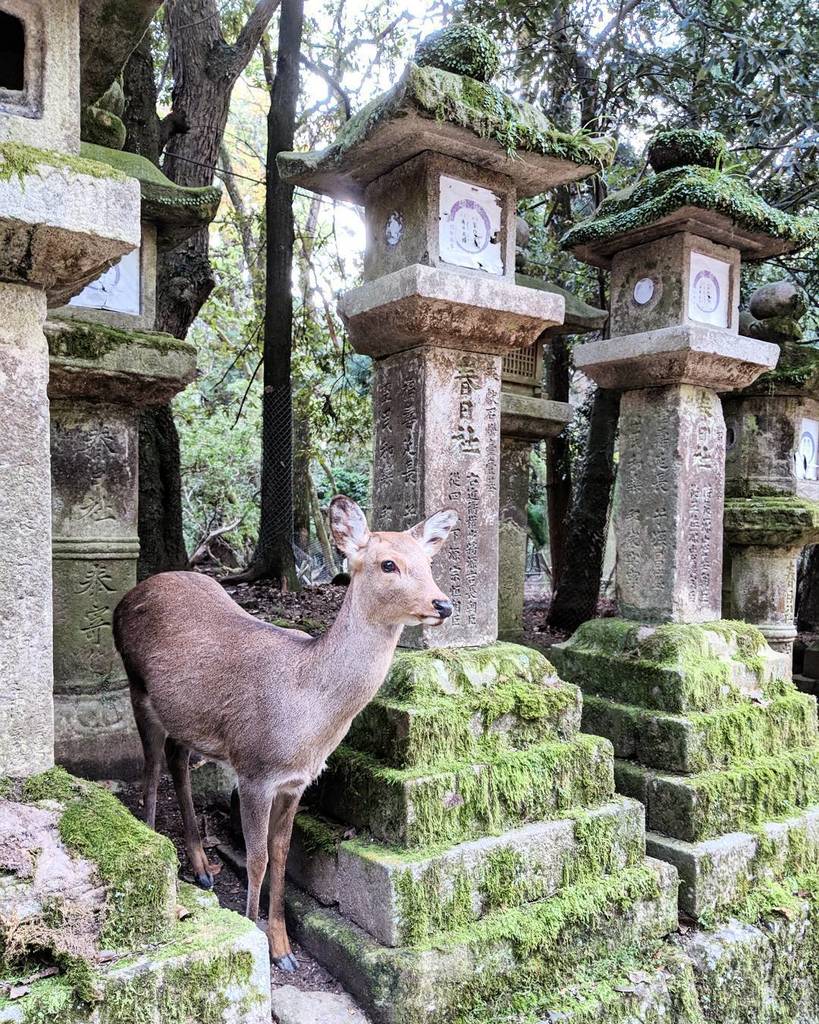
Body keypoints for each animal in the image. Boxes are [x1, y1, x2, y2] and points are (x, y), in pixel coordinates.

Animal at [113, 496, 457, 973]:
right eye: (388, 563)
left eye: (428, 561)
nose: (442, 605)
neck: (307, 719)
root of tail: (126, 598)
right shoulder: (254, 769)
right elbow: (256, 858)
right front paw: (253, 930)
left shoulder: (295, 782)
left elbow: (281, 855)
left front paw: (283, 948)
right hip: (136, 686)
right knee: (149, 770)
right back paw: (154, 839)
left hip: (186, 714)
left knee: (177, 759)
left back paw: (200, 866)